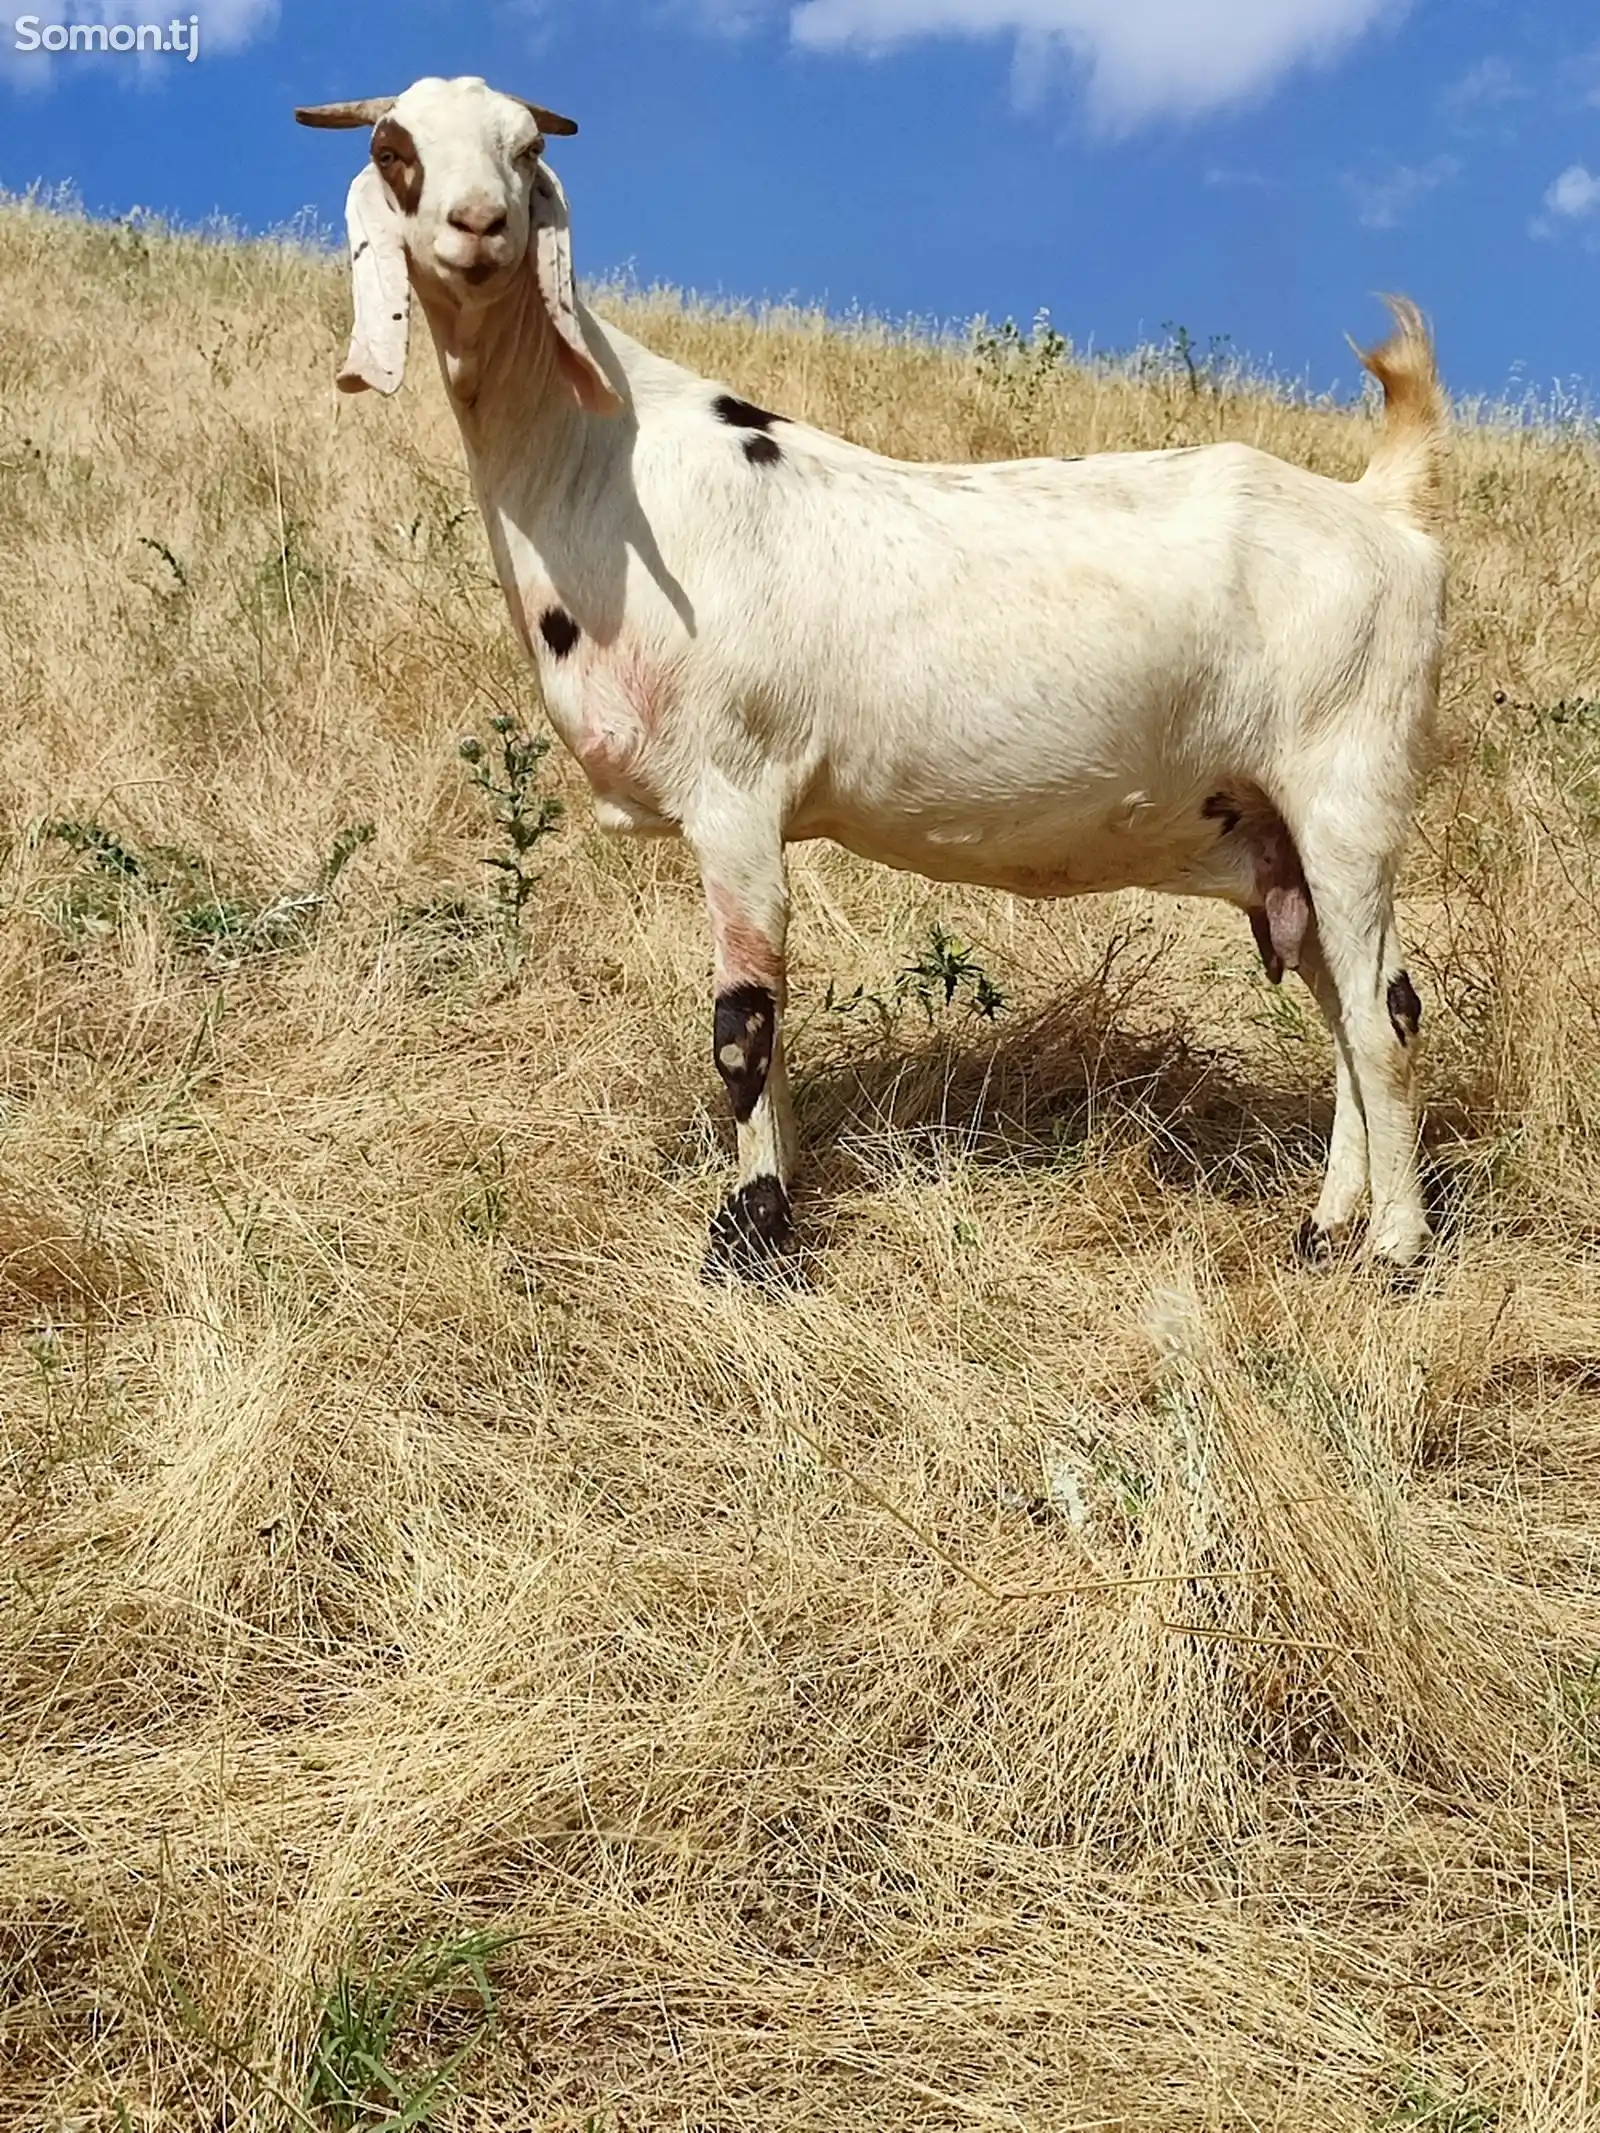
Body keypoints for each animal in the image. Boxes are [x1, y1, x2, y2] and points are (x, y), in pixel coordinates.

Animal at [292, 78, 1450, 1279]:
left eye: (524, 150)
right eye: (395, 151)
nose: (478, 226)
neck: (607, 465)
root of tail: (1381, 506)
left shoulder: (734, 792)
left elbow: (743, 1025)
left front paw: (752, 1234)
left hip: (1348, 788)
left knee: (1385, 1015)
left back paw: (1395, 1247)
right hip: (1273, 829)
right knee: (1345, 1003)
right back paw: (1326, 1225)